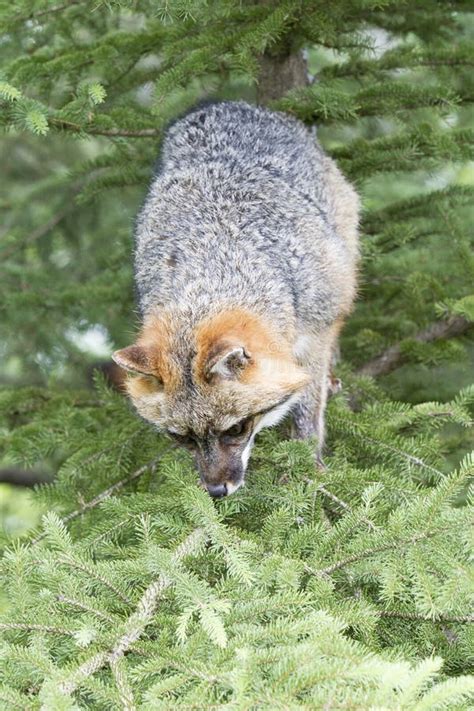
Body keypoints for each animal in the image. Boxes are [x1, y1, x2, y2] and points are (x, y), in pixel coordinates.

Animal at [114, 103, 360, 498]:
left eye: (236, 429)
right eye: (182, 438)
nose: (216, 491)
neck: (216, 267)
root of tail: (228, 105)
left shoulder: (315, 328)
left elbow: (307, 404)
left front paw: (306, 462)